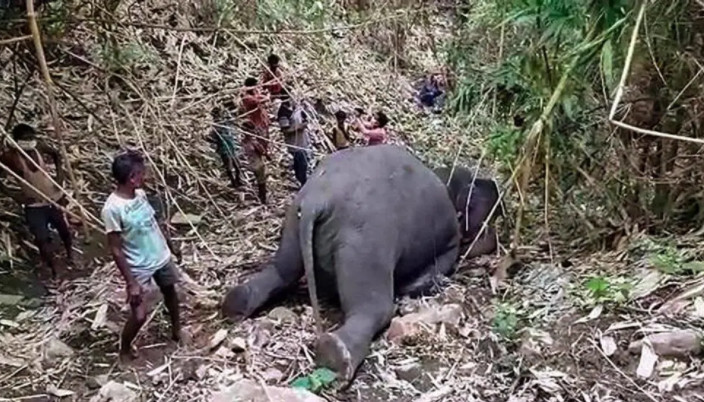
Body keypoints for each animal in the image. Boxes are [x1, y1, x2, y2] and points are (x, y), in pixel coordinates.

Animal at [223, 144, 460, 380]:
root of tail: (318, 199)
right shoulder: (450, 243)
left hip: (292, 226)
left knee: (281, 272)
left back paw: (236, 304)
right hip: (366, 246)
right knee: (373, 308)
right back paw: (338, 356)